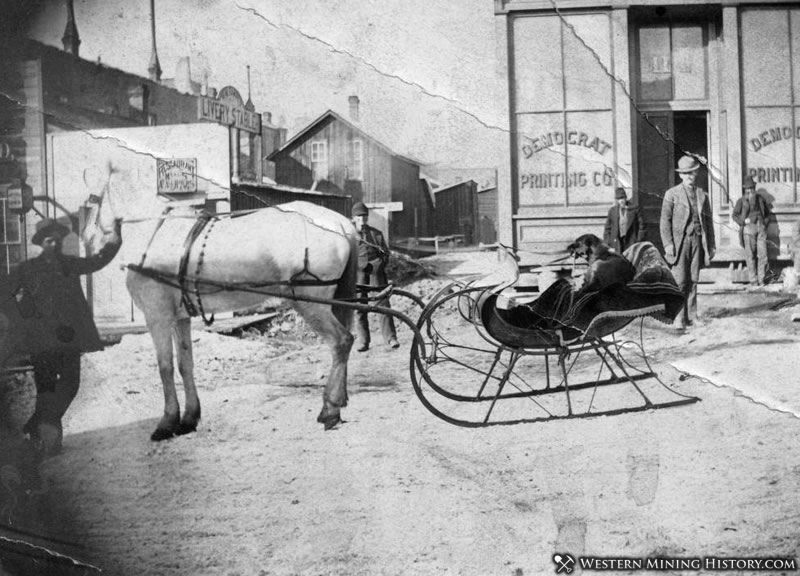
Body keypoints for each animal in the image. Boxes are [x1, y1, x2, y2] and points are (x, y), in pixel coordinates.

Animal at [82, 166, 356, 440]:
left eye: (92, 200)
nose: (87, 243)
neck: (157, 233)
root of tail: (342, 223)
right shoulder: (180, 318)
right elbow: (185, 364)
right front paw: (189, 418)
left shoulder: (157, 316)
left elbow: (165, 367)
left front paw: (167, 422)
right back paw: (338, 401)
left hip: (311, 304)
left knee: (341, 341)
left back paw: (330, 409)